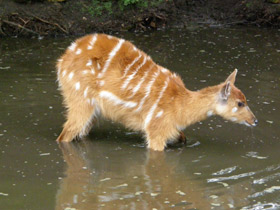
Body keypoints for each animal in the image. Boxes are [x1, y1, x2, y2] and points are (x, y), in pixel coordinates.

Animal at [56, 33, 258, 151]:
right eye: (240, 103)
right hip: (80, 101)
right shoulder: (156, 129)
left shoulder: (173, 130)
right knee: (64, 136)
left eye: (245, 99)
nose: (255, 120)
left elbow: (183, 138)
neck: (180, 106)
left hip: (93, 111)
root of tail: (62, 60)